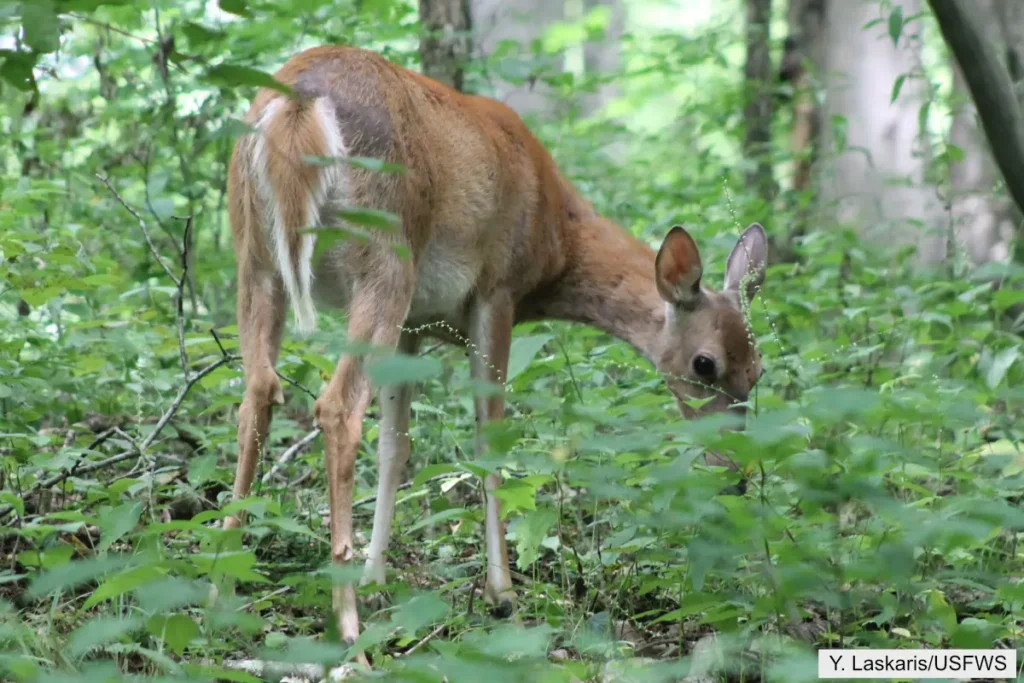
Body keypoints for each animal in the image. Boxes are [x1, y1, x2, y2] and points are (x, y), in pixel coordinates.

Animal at [225, 45, 768, 663]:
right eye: (705, 364)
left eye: (758, 373)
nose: (736, 476)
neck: (558, 236)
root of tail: (298, 101)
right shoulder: (497, 293)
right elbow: (490, 443)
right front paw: (502, 594)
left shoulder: (415, 324)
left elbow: (396, 447)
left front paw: (377, 578)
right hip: (385, 255)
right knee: (336, 407)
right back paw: (349, 632)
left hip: (255, 254)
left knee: (258, 392)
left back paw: (221, 585)